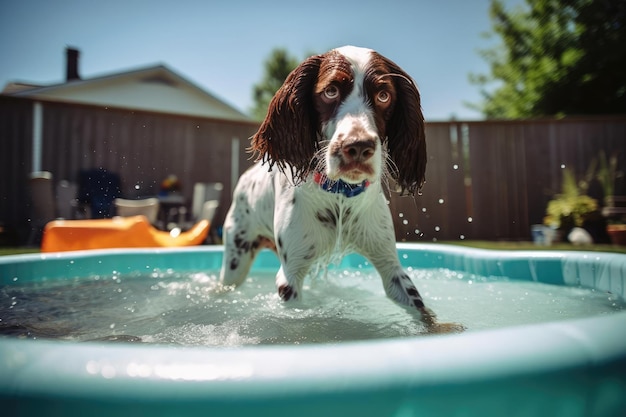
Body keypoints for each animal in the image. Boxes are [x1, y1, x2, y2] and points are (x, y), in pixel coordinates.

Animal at [222, 46, 436, 324]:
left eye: (383, 95)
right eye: (330, 91)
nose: (358, 146)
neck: (341, 195)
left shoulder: (390, 265)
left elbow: (423, 312)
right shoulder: (291, 274)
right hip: (235, 257)